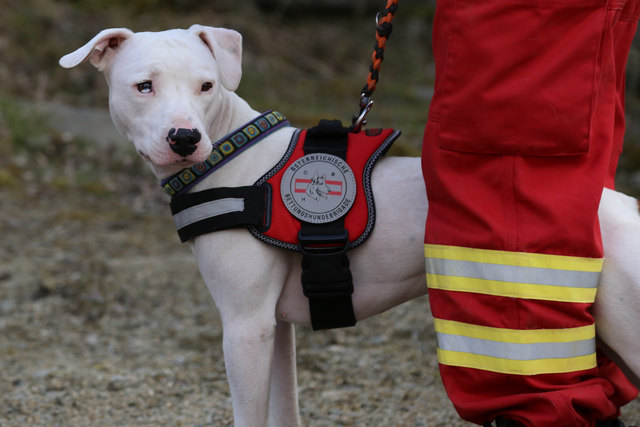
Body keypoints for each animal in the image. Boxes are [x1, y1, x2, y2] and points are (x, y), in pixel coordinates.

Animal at [58, 25, 636, 426]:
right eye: (144, 87)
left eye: (206, 86)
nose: (184, 138)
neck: (230, 155)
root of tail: (623, 205)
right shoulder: (274, 328)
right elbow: (283, 414)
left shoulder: (244, 326)